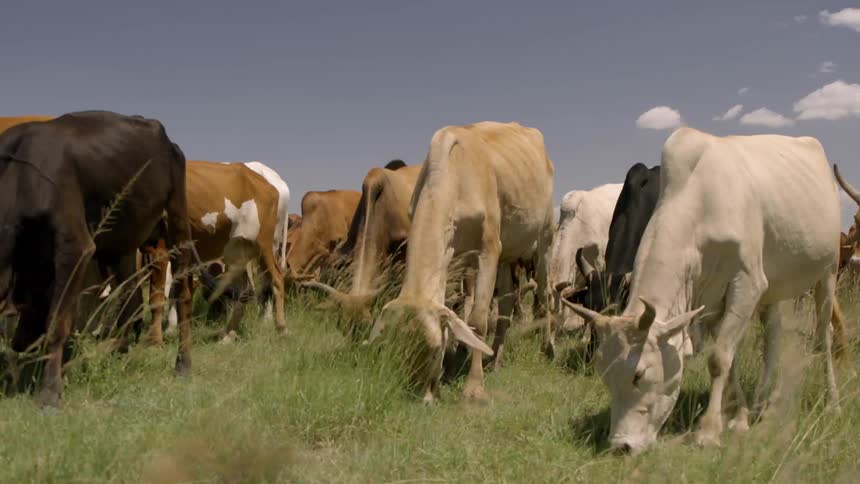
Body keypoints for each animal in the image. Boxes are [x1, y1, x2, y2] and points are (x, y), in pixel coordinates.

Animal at [0, 111, 194, 407]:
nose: (18, 344)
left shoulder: (75, 248)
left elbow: (57, 322)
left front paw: (50, 390)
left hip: (176, 219)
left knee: (182, 294)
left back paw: (183, 363)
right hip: (121, 245)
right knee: (130, 298)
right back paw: (118, 355)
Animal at [148, 160, 287, 343]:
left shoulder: (160, 247)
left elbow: (157, 297)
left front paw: (154, 342)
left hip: (265, 245)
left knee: (276, 279)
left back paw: (281, 328)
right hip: (238, 250)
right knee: (246, 291)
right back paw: (228, 336)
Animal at [368, 121, 554, 403]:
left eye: (435, 349)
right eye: (398, 347)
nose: (423, 399)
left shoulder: (489, 249)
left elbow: (477, 320)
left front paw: (474, 386)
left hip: (544, 239)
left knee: (545, 294)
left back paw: (547, 350)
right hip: (508, 254)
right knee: (507, 304)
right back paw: (495, 359)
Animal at [564, 127, 843, 453]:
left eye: (639, 374)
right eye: (605, 375)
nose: (621, 445)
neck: (699, 203)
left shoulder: (747, 284)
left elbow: (719, 359)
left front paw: (709, 430)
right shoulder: (709, 301)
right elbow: (729, 359)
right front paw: (738, 416)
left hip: (828, 271)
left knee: (824, 336)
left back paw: (832, 401)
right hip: (775, 288)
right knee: (773, 338)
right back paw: (763, 403)